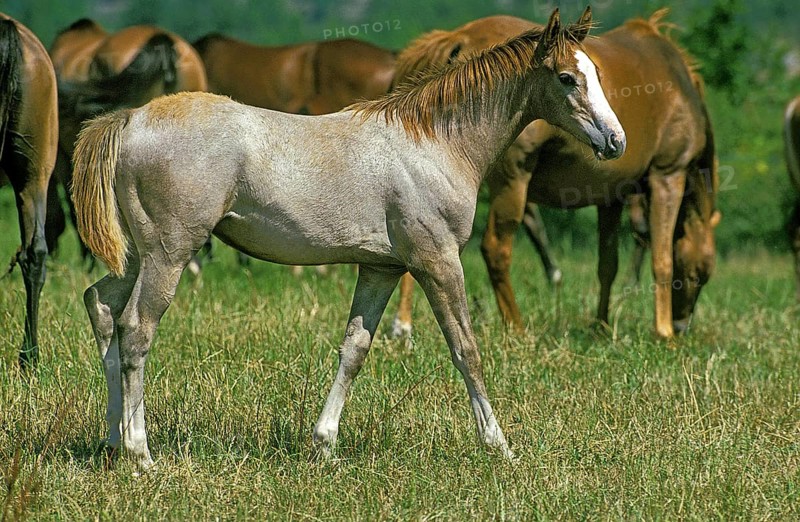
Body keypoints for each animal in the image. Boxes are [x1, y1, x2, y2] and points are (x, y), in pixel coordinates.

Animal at [391, 10, 720, 340]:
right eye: (698, 274)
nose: (682, 326)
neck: (680, 87)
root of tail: (460, 36)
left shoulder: (611, 197)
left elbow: (608, 265)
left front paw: (601, 326)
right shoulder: (668, 177)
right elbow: (662, 260)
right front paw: (663, 333)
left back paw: (403, 324)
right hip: (512, 183)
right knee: (495, 249)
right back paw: (515, 328)